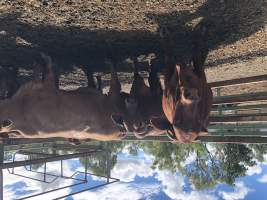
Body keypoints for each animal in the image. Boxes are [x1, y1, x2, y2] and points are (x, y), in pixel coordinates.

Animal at [0, 52, 136, 141]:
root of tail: (122, 132)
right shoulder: (46, 87)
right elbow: (45, 71)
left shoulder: (46, 87)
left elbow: (43, 70)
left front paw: (41, 60)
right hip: (107, 97)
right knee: (113, 84)